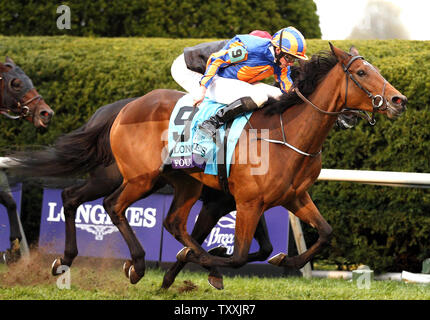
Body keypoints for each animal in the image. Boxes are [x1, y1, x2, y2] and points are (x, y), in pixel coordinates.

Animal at [104, 43, 406, 284]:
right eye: (362, 73)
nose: (398, 100)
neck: (286, 135)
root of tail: (128, 106)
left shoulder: (294, 196)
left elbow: (325, 233)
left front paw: (284, 260)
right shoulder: (248, 202)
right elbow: (237, 257)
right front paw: (208, 259)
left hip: (186, 182)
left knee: (174, 222)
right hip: (143, 178)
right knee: (113, 205)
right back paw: (138, 264)